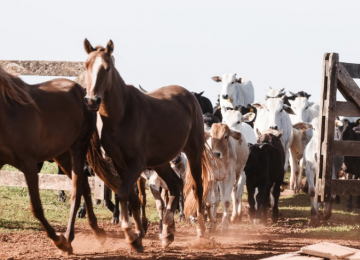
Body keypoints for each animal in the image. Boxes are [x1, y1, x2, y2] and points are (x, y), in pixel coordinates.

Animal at [0, 64, 107, 253]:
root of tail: (83, 92)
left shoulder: (29, 164)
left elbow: (36, 208)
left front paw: (59, 241)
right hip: (62, 156)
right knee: (85, 187)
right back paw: (97, 232)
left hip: (78, 150)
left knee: (76, 192)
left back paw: (68, 238)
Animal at [83, 39, 212, 252]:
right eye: (86, 66)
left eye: (107, 68)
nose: (92, 100)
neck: (122, 115)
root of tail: (189, 96)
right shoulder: (120, 164)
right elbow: (133, 197)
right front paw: (139, 235)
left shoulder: (137, 163)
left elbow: (123, 193)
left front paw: (131, 236)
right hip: (161, 162)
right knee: (175, 185)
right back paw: (167, 233)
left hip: (193, 152)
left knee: (197, 188)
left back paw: (200, 232)